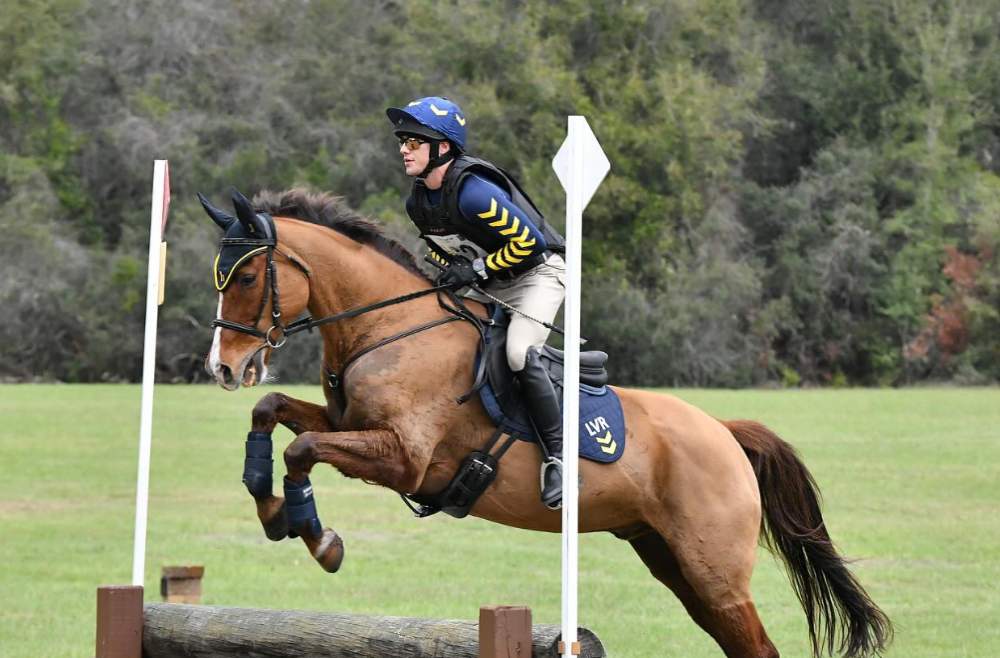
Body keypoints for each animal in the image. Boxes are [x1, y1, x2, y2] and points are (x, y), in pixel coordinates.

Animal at [201, 187, 892, 658]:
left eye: (246, 276)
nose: (225, 368)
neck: (387, 329)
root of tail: (724, 432)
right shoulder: (347, 422)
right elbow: (275, 414)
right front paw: (270, 507)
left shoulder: (405, 459)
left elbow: (305, 450)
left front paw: (319, 538)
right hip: (670, 560)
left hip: (714, 572)